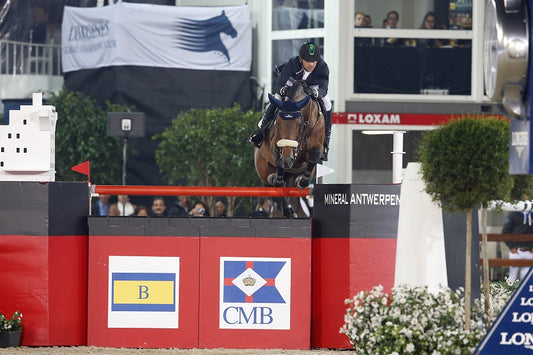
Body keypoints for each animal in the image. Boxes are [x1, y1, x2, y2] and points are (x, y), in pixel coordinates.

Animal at [254, 80, 324, 218]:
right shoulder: (277, 147)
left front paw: (301, 182)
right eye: (277, 122)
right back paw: (287, 209)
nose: (288, 160)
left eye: (299, 124)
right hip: (263, 168)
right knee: (275, 185)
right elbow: (279, 172)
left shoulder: (317, 146)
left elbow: (313, 157)